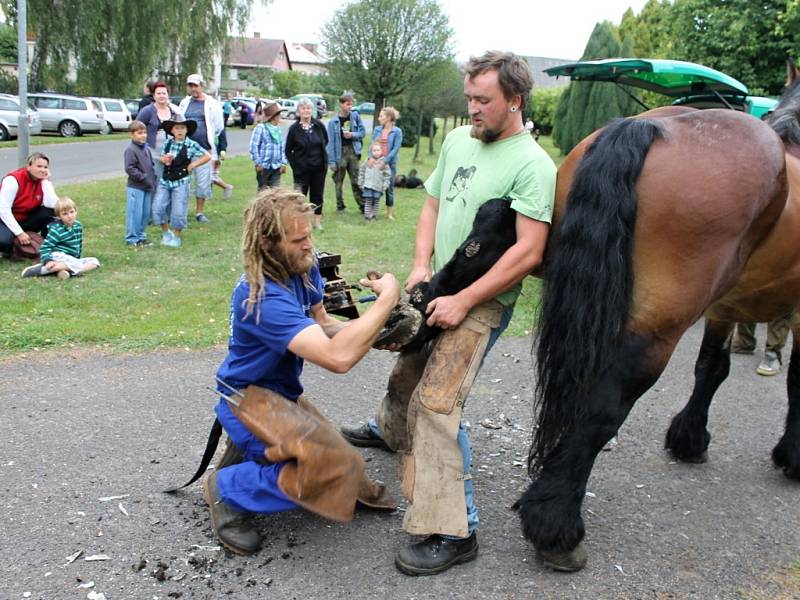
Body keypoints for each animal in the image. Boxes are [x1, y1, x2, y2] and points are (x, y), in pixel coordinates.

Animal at [516, 72, 800, 568]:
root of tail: (647, 127)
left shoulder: (724, 309)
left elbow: (712, 367)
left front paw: (690, 438)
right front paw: (793, 454)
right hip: (659, 326)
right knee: (605, 404)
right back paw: (555, 522)